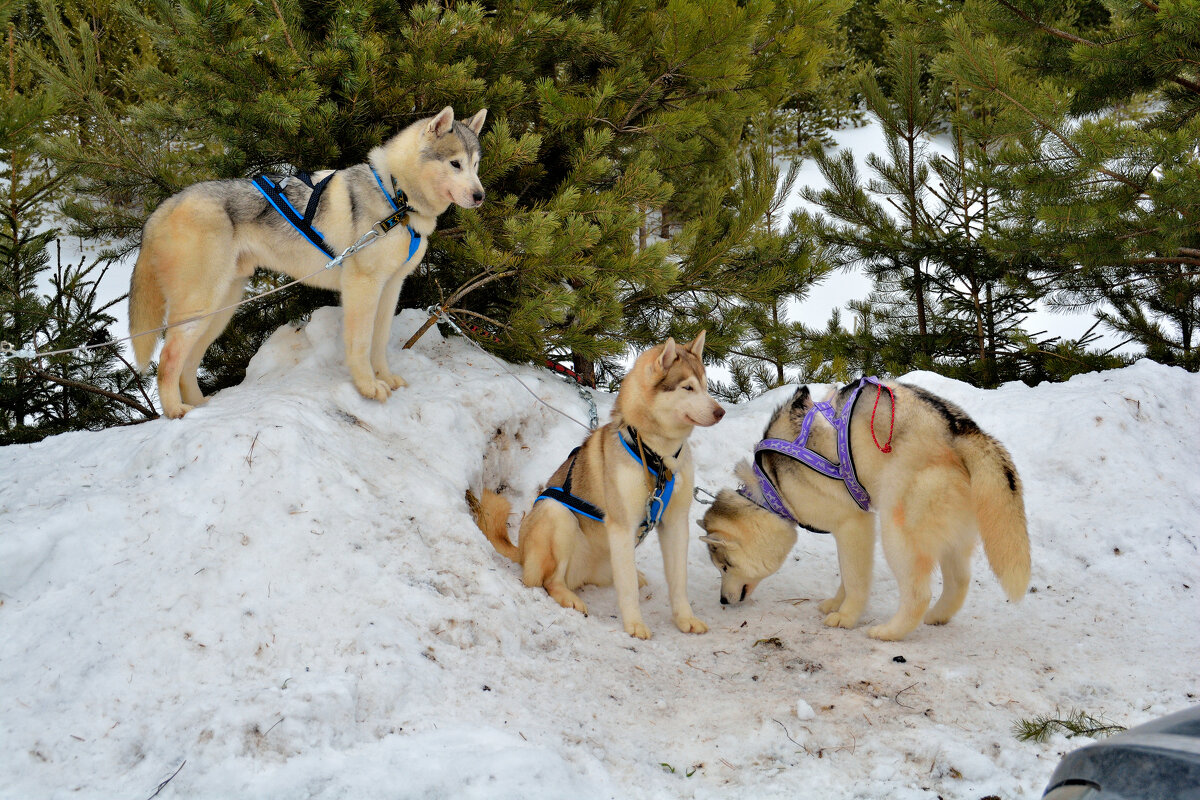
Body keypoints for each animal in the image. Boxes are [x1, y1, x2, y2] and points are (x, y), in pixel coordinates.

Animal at [129, 106, 484, 419]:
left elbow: (379, 342)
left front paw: (384, 378)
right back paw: (175, 411)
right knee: (167, 360)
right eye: (455, 163)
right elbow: (360, 344)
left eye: (476, 165)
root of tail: (165, 206)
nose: (481, 196)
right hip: (199, 308)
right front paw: (368, 387)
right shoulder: (363, 287)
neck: (396, 197)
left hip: (218, 311)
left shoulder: (391, 287)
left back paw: (199, 407)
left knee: (187, 365)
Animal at [472, 335, 724, 642]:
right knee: (548, 580)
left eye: (706, 386)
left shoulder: (675, 523)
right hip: (557, 515)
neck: (657, 457)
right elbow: (627, 590)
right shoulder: (622, 526)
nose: (720, 411)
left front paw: (685, 619)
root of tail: (521, 552)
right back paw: (569, 597)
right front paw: (634, 625)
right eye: (688, 387)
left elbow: (678, 582)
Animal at [700, 381, 1032, 642]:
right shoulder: (846, 532)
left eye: (725, 566)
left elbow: (855, 579)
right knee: (959, 580)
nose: (723, 600)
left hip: (896, 532)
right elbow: (847, 576)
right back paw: (938, 616)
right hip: (949, 533)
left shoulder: (854, 524)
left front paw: (846, 616)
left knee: (918, 594)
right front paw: (837, 603)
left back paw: (890, 632)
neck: (772, 486)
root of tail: (959, 428)